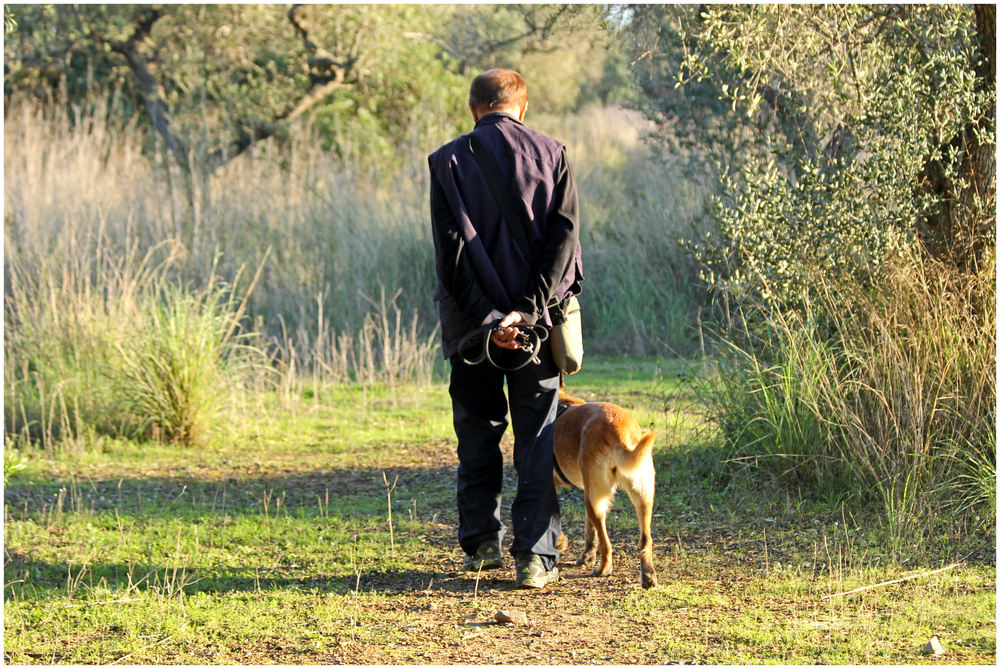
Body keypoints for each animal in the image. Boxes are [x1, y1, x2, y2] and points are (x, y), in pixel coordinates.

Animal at [552, 386, 660, 584]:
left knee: (606, 543)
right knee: (645, 539)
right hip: (643, 496)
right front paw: (587, 556)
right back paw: (648, 576)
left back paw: (603, 569)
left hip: (594, 499)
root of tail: (619, 428)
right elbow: (589, 532)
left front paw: (560, 541)